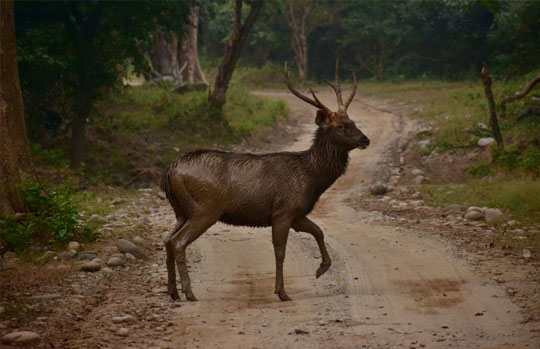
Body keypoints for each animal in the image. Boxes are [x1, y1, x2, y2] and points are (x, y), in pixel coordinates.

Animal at [162, 61, 370, 300]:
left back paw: (173, 292)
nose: (365, 139)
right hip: (205, 207)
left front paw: (322, 268)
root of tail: (170, 170)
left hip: (181, 210)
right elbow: (280, 252)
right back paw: (189, 292)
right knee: (178, 242)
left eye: (352, 121)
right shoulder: (283, 211)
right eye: (340, 126)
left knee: (167, 240)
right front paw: (282, 292)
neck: (311, 179)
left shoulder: (297, 214)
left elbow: (318, 230)